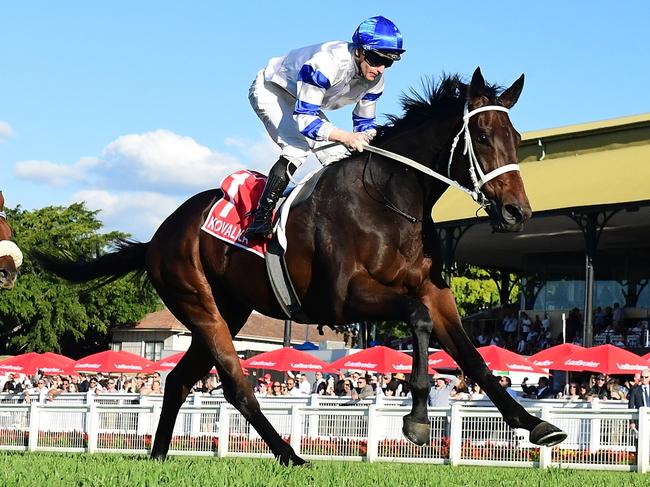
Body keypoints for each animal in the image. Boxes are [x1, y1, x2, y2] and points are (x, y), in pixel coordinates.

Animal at [34, 68, 560, 466]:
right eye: (483, 136)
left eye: (516, 138)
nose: (518, 213)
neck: (390, 201)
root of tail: (158, 236)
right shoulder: (344, 299)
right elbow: (418, 319)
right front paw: (414, 421)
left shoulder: (435, 292)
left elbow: (474, 358)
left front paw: (536, 424)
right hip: (197, 303)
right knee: (236, 383)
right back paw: (290, 456)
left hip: (227, 311)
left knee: (180, 379)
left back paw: (160, 456)